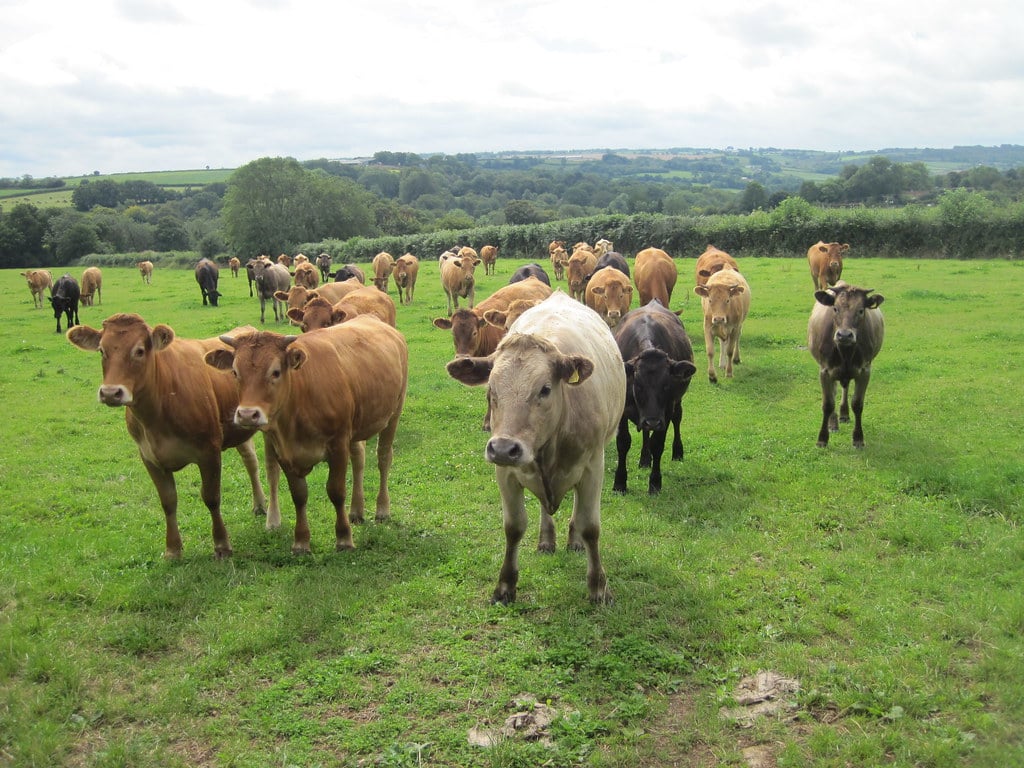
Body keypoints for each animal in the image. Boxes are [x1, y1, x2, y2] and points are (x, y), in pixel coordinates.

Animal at [66, 313, 268, 558]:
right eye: (102, 351)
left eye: (139, 350)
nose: (110, 393)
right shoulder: (149, 458)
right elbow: (168, 501)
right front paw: (173, 548)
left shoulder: (209, 451)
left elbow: (211, 497)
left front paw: (222, 544)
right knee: (251, 462)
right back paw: (259, 504)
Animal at [205, 315, 409, 554]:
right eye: (235, 373)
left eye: (275, 372)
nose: (247, 415)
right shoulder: (283, 451)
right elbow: (299, 495)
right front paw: (301, 541)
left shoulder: (338, 444)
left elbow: (336, 491)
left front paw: (344, 538)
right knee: (359, 459)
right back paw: (356, 511)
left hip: (393, 413)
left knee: (384, 458)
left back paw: (382, 509)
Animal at [446, 291, 625, 604]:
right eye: (491, 390)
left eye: (545, 389)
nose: (504, 448)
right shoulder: (505, 473)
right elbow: (514, 527)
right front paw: (505, 586)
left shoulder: (594, 466)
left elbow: (590, 527)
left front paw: (598, 587)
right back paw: (546, 539)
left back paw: (573, 540)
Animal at [613, 300, 697, 495]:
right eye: (638, 385)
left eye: (666, 385)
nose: (652, 421)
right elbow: (623, 442)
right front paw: (620, 482)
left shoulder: (664, 413)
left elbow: (657, 444)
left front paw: (655, 482)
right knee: (645, 432)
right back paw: (645, 459)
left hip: (675, 405)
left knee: (677, 419)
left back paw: (677, 452)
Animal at [808, 282, 885, 448]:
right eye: (835, 308)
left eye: (861, 310)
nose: (844, 335)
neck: (845, 352)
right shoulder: (825, 371)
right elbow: (828, 403)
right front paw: (822, 438)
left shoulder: (865, 370)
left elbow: (857, 404)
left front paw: (858, 438)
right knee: (835, 391)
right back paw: (833, 423)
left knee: (845, 387)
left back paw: (844, 414)